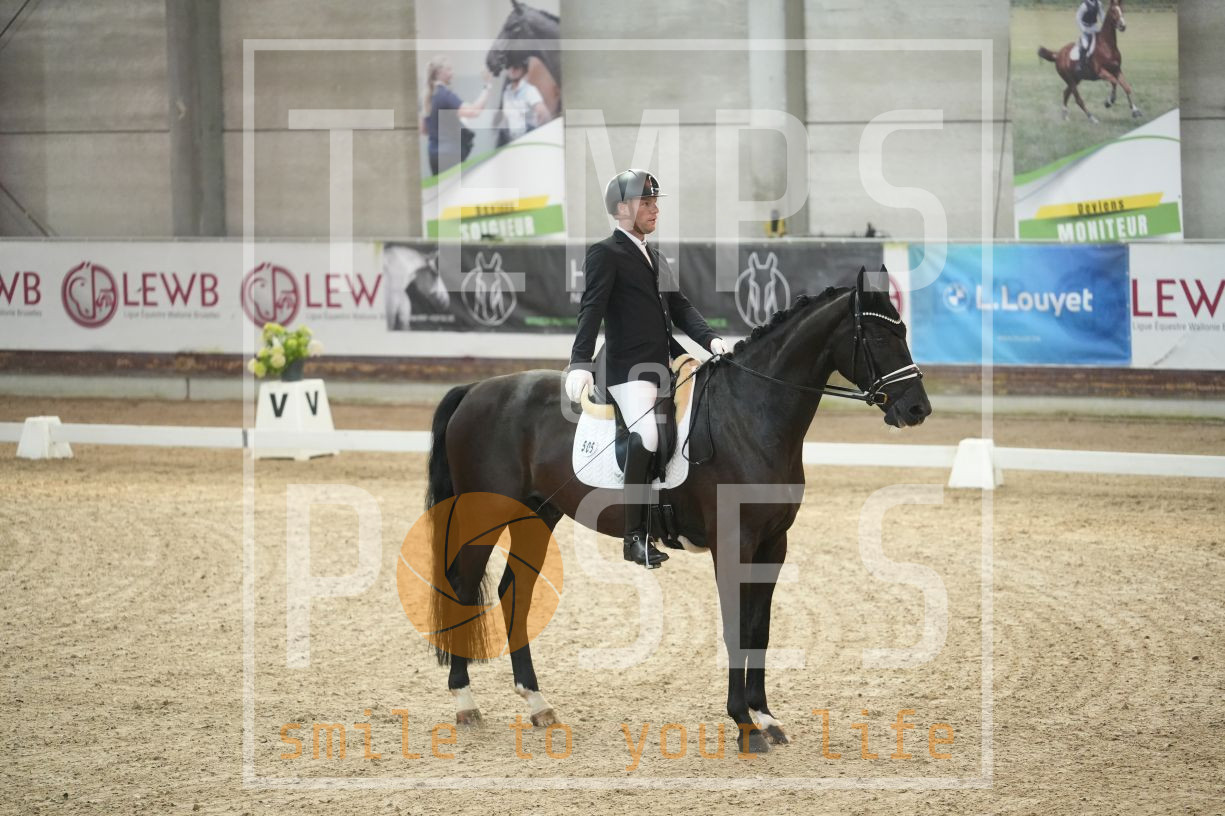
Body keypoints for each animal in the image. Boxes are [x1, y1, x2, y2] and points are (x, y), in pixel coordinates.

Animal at [420, 268, 932, 754]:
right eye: (880, 337)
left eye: (903, 331)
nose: (917, 409)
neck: (750, 413)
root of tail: (474, 390)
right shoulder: (732, 543)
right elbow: (734, 628)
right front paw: (744, 725)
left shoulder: (773, 542)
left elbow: (759, 628)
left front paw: (765, 717)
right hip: (484, 515)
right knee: (465, 587)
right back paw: (465, 701)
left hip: (537, 516)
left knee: (514, 593)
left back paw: (537, 703)